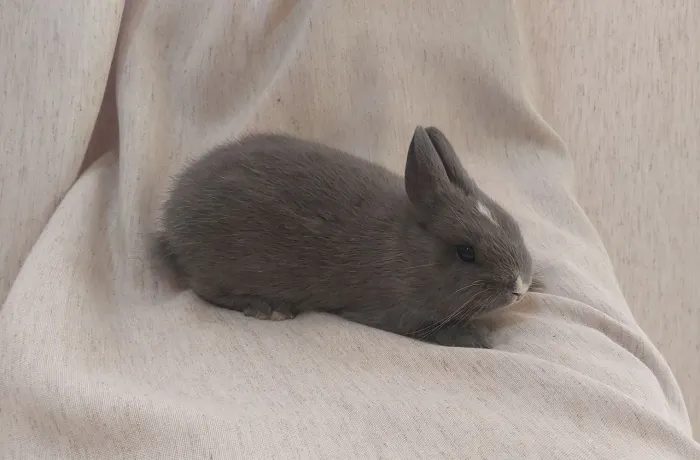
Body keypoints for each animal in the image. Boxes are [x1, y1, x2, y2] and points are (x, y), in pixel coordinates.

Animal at [154, 126, 534, 348]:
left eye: (511, 225)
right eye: (466, 252)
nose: (520, 287)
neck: (408, 251)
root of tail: (172, 213)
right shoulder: (397, 312)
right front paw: (476, 338)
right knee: (207, 291)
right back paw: (269, 308)